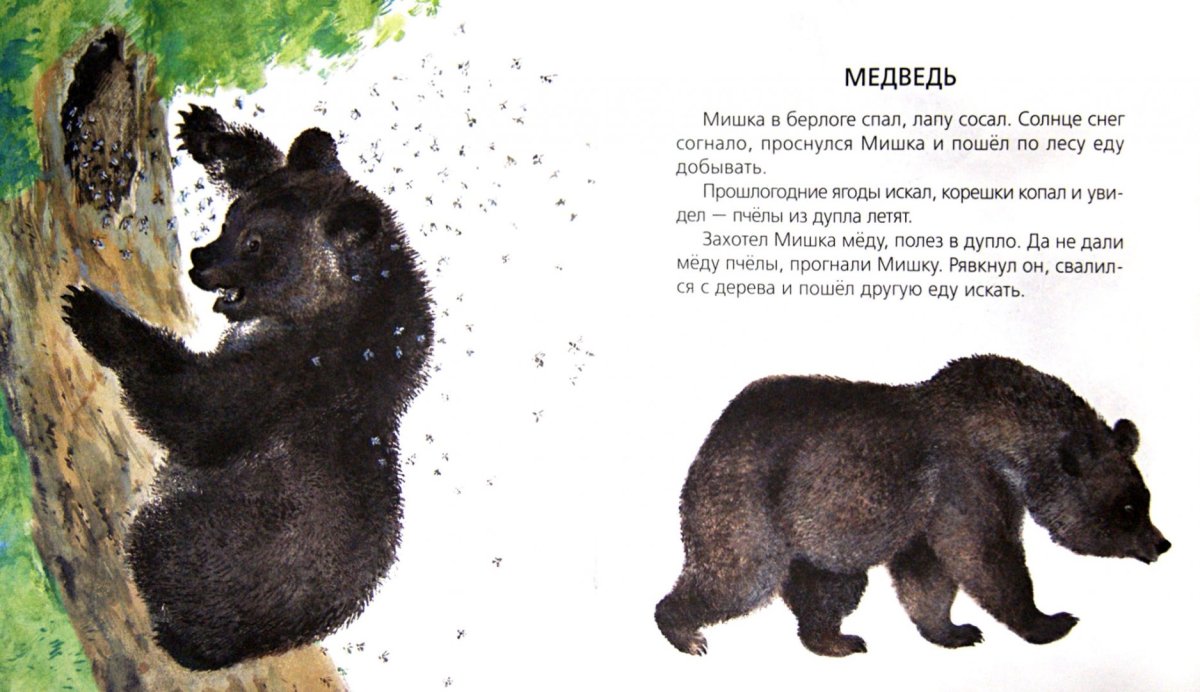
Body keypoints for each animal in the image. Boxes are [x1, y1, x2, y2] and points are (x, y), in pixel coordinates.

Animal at [61, 104, 434, 670]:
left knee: (160, 542)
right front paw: (208, 132)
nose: (199, 261)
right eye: (230, 218)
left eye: (255, 244)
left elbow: (201, 414)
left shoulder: (300, 373)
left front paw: (94, 313)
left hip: (219, 540)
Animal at [655, 355, 1170, 657]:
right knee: (740, 576)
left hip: (824, 525)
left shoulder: (931, 507)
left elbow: (929, 573)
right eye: (1128, 508)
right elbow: (986, 557)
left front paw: (955, 630)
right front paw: (1050, 620)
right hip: (748, 499)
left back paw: (836, 639)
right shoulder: (966, 477)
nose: (1162, 543)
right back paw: (684, 631)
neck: (1007, 439)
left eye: (1144, 499)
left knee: (832, 586)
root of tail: (719, 427)